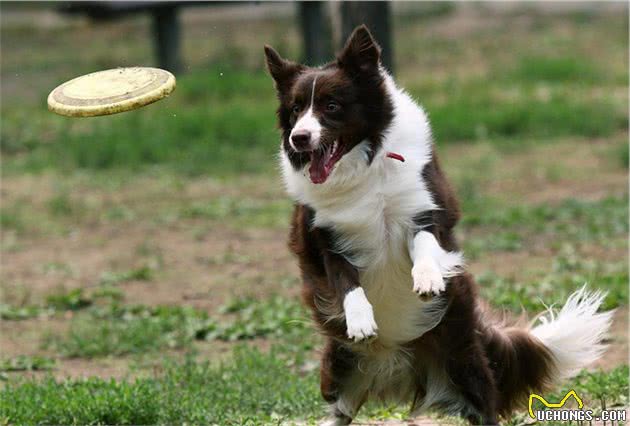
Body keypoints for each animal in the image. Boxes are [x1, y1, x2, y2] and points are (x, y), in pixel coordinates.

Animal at [264, 25, 616, 424]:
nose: (299, 138)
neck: (365, 169)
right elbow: (345, 281)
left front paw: (428, 279)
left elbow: (425, 246)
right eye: (296, 109)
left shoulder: (428, 211)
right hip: (340, 367)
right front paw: (360, 320)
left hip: (463, 359)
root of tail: (397, 361)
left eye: (331, 105)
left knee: (485, 403)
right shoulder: (322, 239)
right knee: (339, 409)